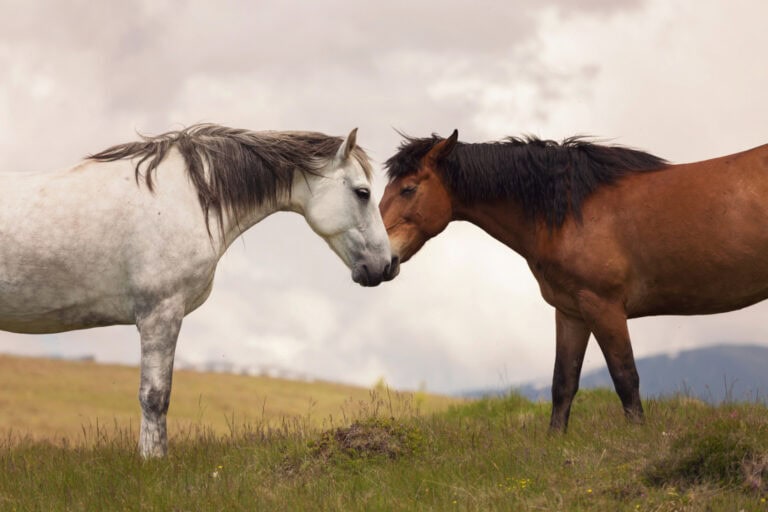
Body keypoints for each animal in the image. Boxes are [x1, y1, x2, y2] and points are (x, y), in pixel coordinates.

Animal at [0, 123, 394, 457]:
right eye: (363, 192)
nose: (386, 265)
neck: (184, 199)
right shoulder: (160, 314)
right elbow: (155, 397)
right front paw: (152, 461)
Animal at [379, 128, 768, 431]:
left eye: (408, 189)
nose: (379, 259)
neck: (567, 212)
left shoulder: (604, 307)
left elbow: (626, 379)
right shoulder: (571, 313)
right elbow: (562, 384)